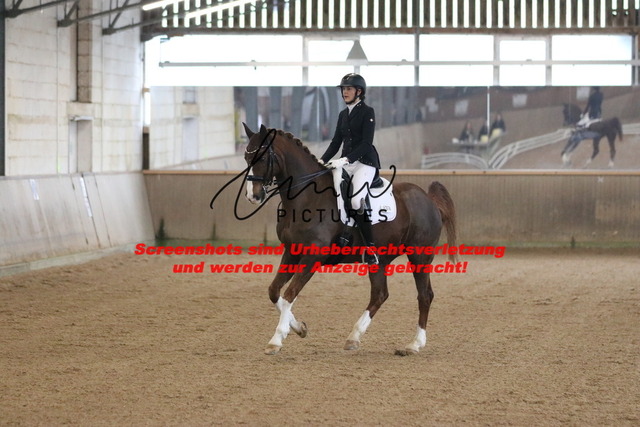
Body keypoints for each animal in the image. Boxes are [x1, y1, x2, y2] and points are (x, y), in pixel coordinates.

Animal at [242, 124, 458, 356]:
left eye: (263, 158)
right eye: (247, 158)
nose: (253, 196)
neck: (307, 198)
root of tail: (429, 200)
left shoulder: (313, 256)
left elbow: (290, 293)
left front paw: (276, 340)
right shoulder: (292, 252)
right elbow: (275, 293)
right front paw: (299, 328)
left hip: (419, 256)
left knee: (424, 295)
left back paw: (414, 344)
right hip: (380, 260)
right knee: (380, 294)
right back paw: (354, 337)